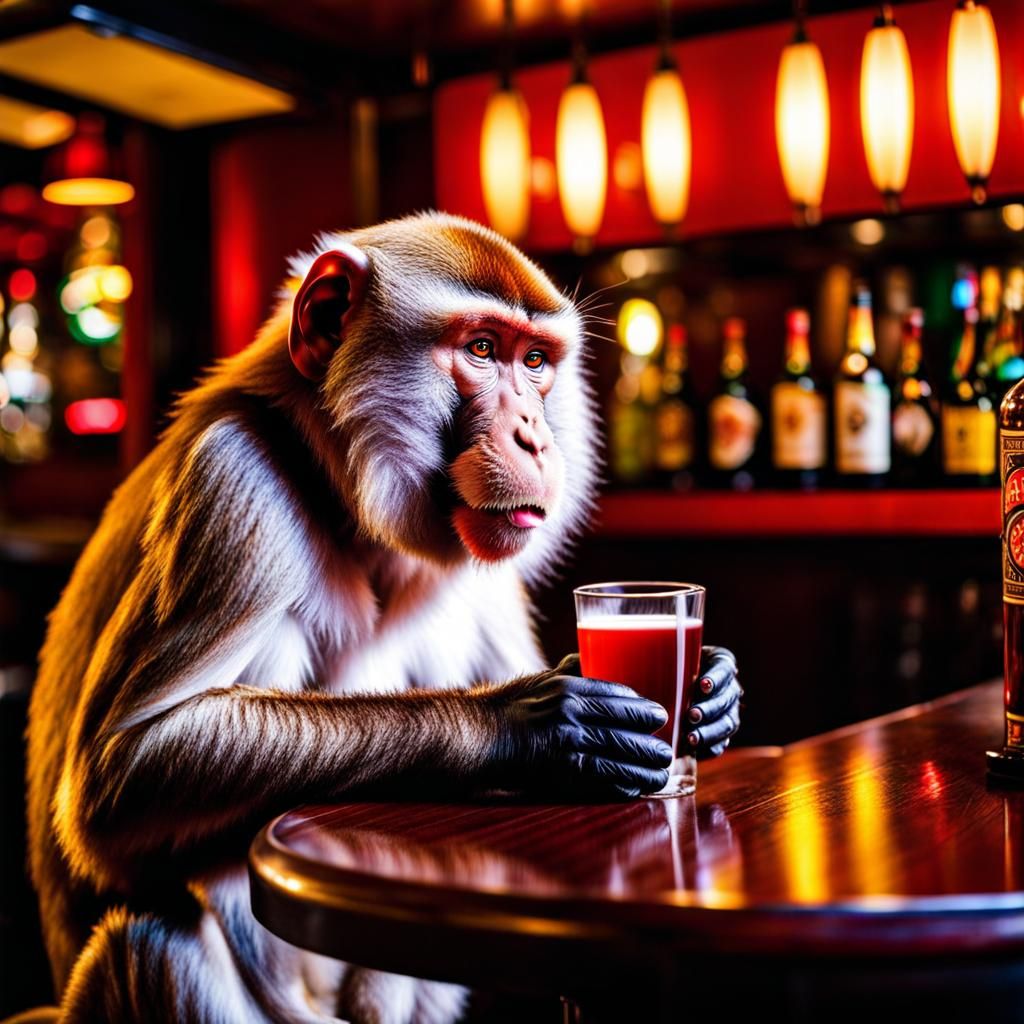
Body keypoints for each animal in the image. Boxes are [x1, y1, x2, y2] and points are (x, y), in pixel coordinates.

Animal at [26, 212, 742, 1023]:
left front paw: (713, 688)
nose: (534, 436)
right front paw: (534, 727)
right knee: (152, 935)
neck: (339, 489)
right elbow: (126, 764)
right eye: (482, 349)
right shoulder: (231, 476)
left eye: (534, 361)